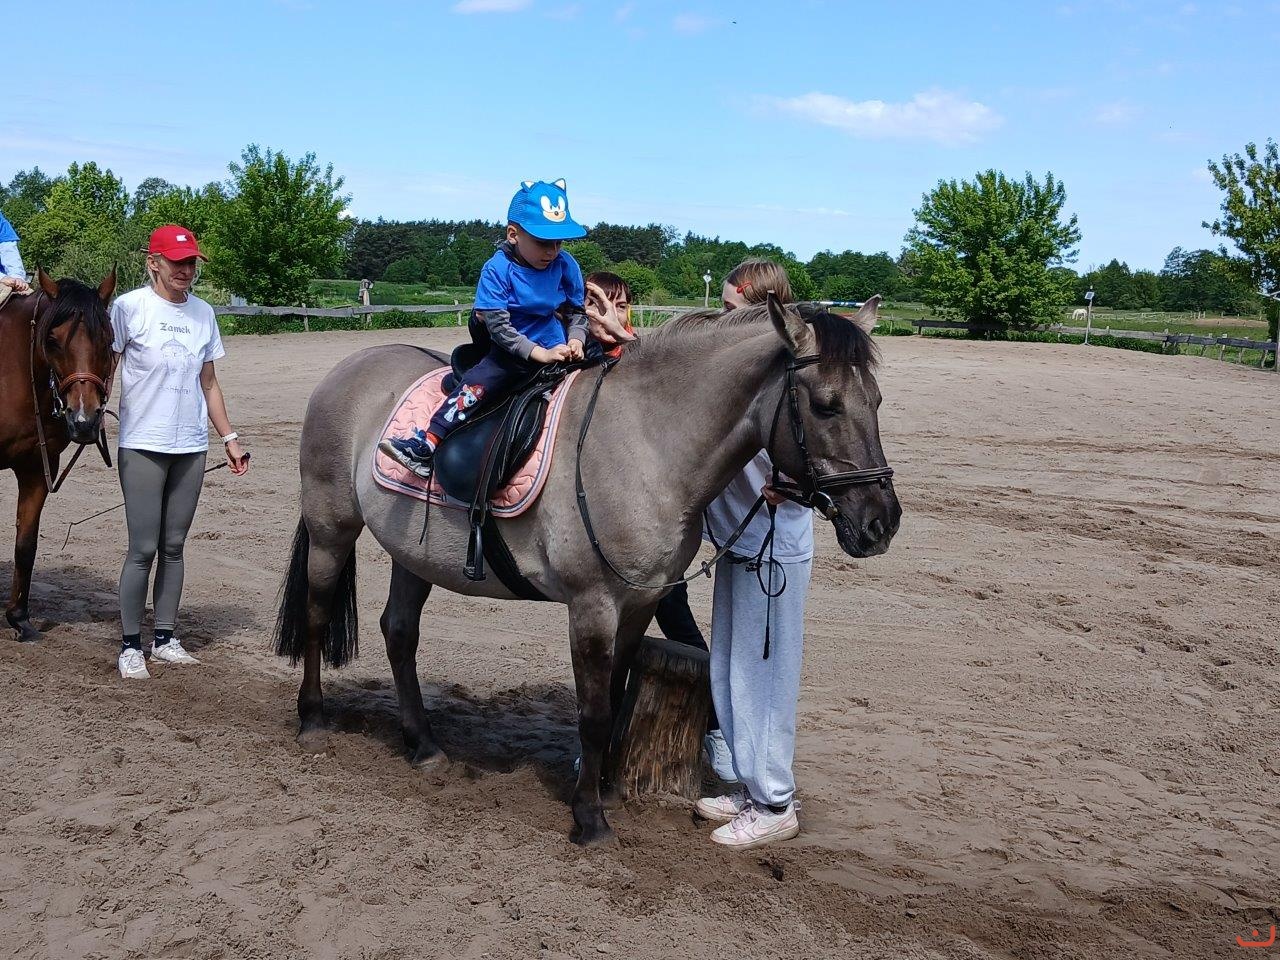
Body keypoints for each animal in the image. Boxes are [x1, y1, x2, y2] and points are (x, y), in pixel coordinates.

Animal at [0, 269, 117, 640]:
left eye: (108, 338)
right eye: (52, 340)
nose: (83, 421)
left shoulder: (38, 468)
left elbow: (26, 545)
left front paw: (19, 618)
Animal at [273, 295, 901, 845]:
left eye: (874, 401)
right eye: (825, 404)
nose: (881, 522)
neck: (647, 444)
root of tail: (350, 365)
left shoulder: (640, 604)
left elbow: (617, 699)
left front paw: (603, 790)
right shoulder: (592, 606)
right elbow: (595, 712)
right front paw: (589, 819)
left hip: (413, 553)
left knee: (399, 633)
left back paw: (424, 746)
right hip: (332, 530)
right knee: (316, 614)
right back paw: (313, 721)